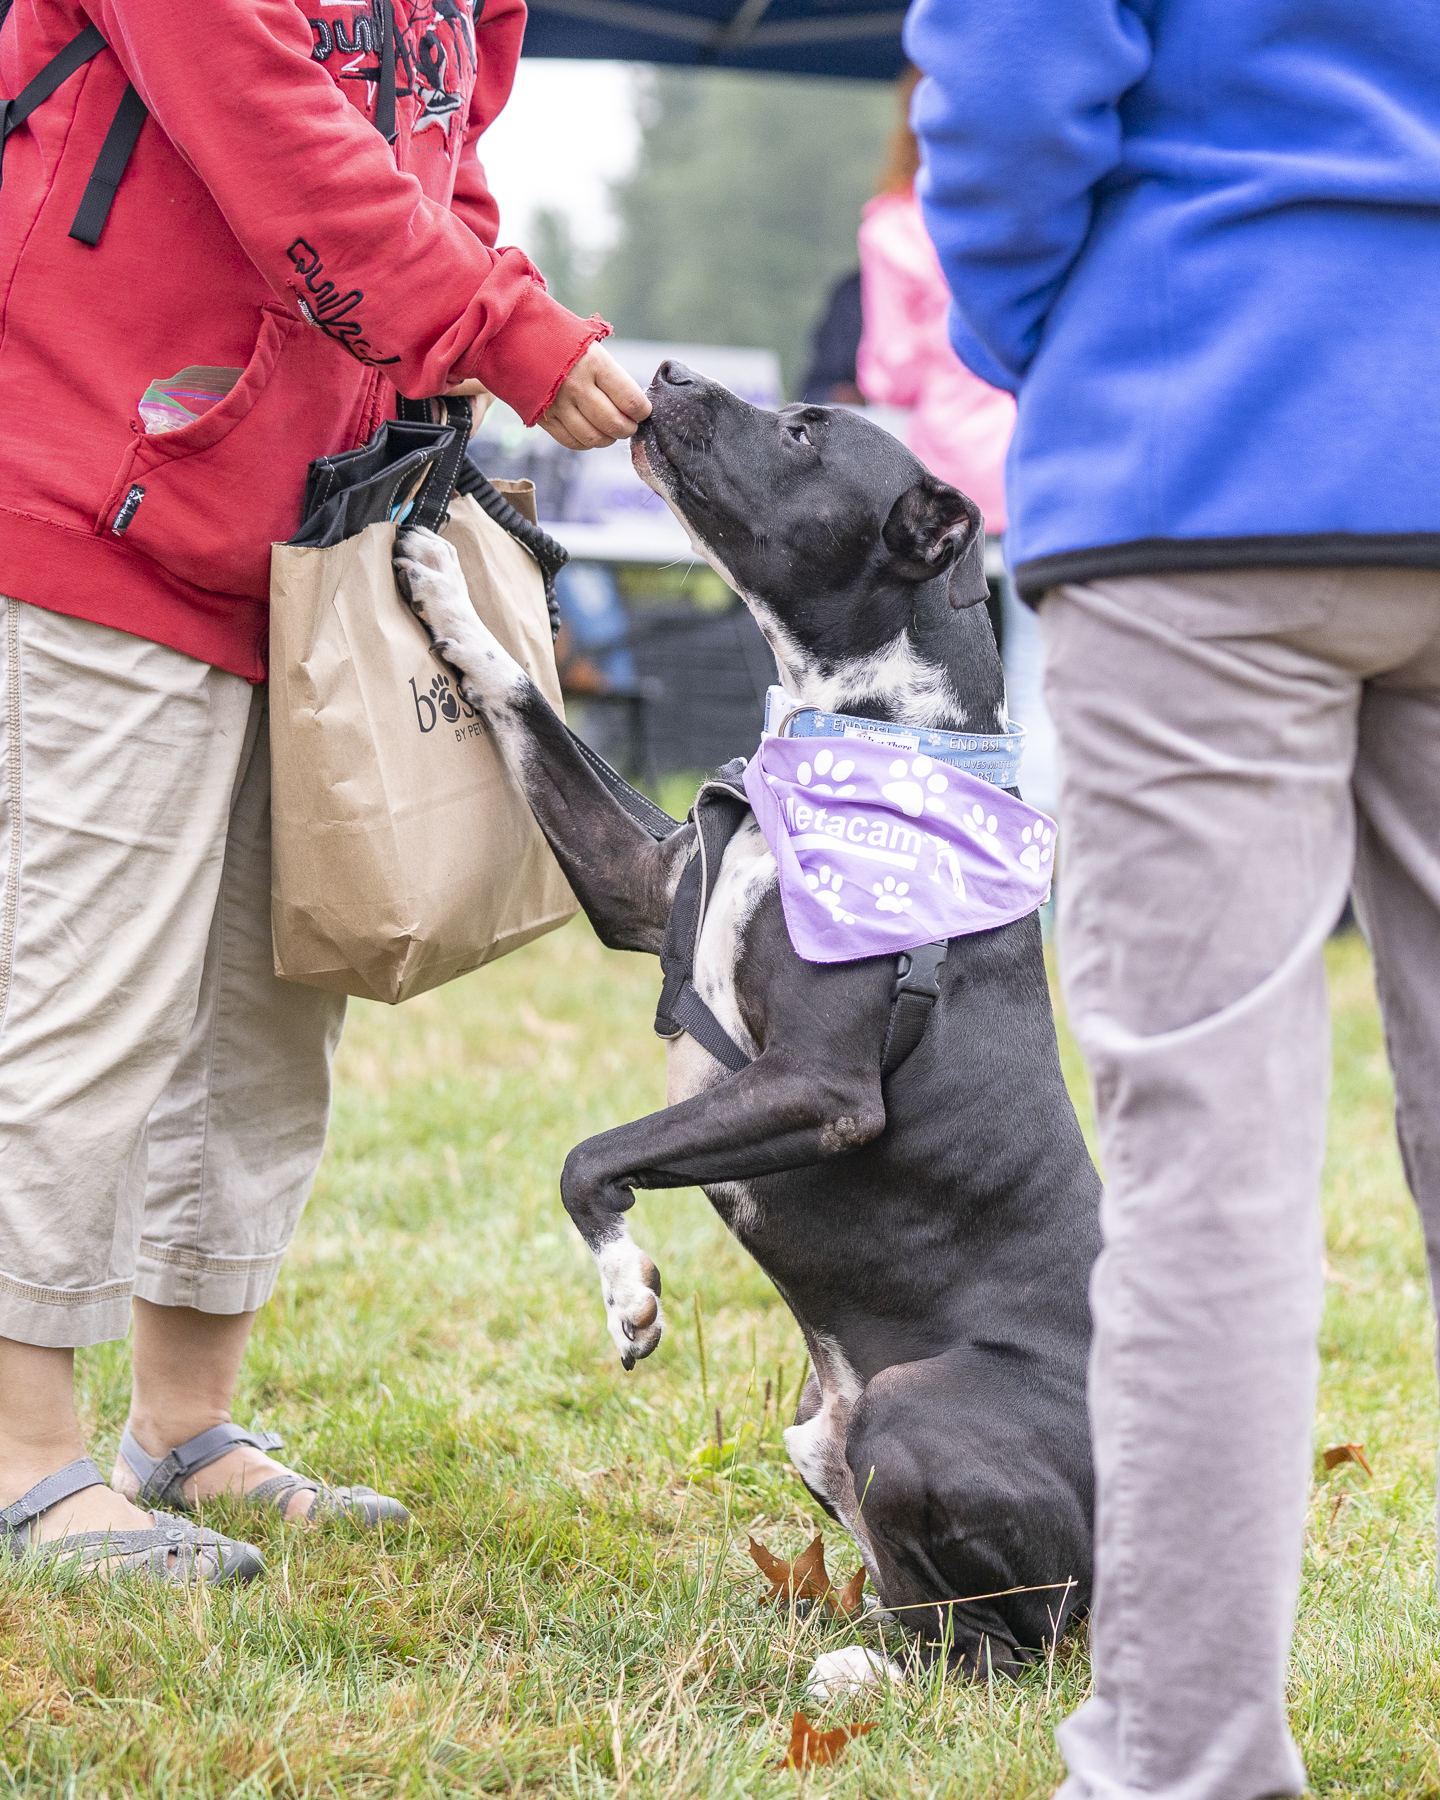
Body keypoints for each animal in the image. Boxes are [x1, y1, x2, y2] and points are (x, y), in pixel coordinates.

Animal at [394, 361, 1101, 1670]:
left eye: (803, 432)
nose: (669, 371)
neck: (863, 727)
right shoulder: (641, 883)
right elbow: (519, 698)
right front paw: (445, 586)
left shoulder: (817, 1089)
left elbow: (589, 1158)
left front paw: (626, 1290)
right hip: (815, 1429)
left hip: (914, 1417)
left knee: (1003, 1646)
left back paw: (857, 1672)